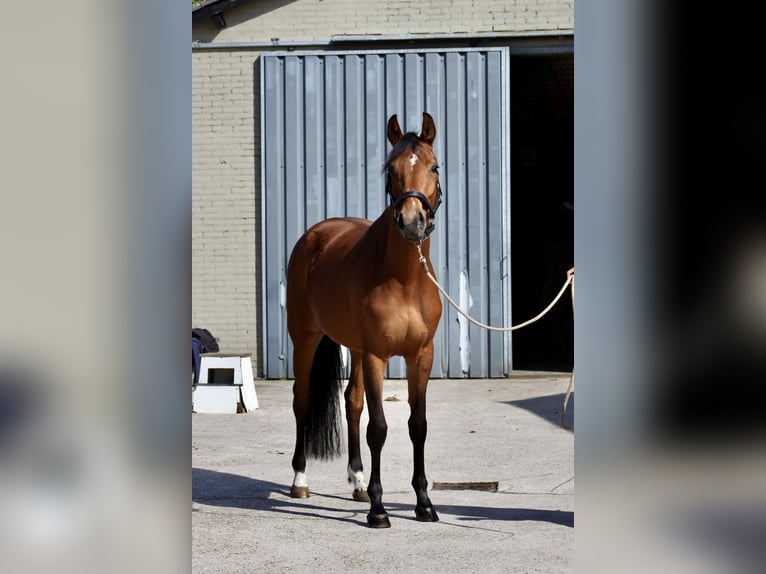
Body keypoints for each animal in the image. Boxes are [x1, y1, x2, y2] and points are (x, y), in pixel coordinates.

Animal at [285, 112, 443, 528]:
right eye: (390, 169)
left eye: (434, 167)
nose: (411, 222)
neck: (405, 279)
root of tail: (316, 233)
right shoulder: (377, 356)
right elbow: (379, 428)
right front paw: (378, 509)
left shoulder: (420, 355)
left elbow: (417, 426)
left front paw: (424, 503)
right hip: (306, 338)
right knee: (302, 400)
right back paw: (300, 479)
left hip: (354, 348)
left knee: (351, 402)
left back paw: (356, 481)